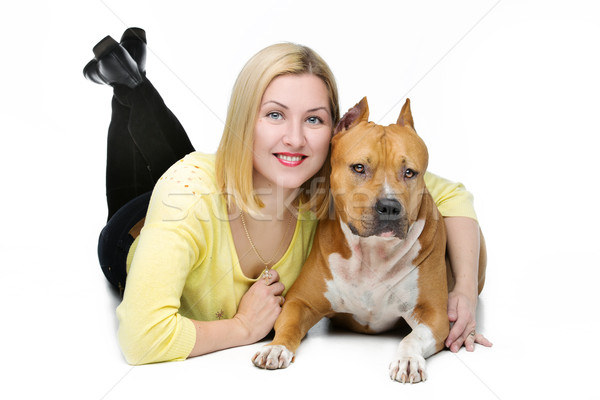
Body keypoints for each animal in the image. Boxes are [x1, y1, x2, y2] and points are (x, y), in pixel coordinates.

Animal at [252, 97, 450, 384]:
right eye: (359, 167)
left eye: (409, 172)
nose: (390, 207)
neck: (372, 253)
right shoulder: (300, 301)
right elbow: (288, 325)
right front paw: (276, 348)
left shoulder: (434, 315)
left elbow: (412, 338)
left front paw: (408, 360)